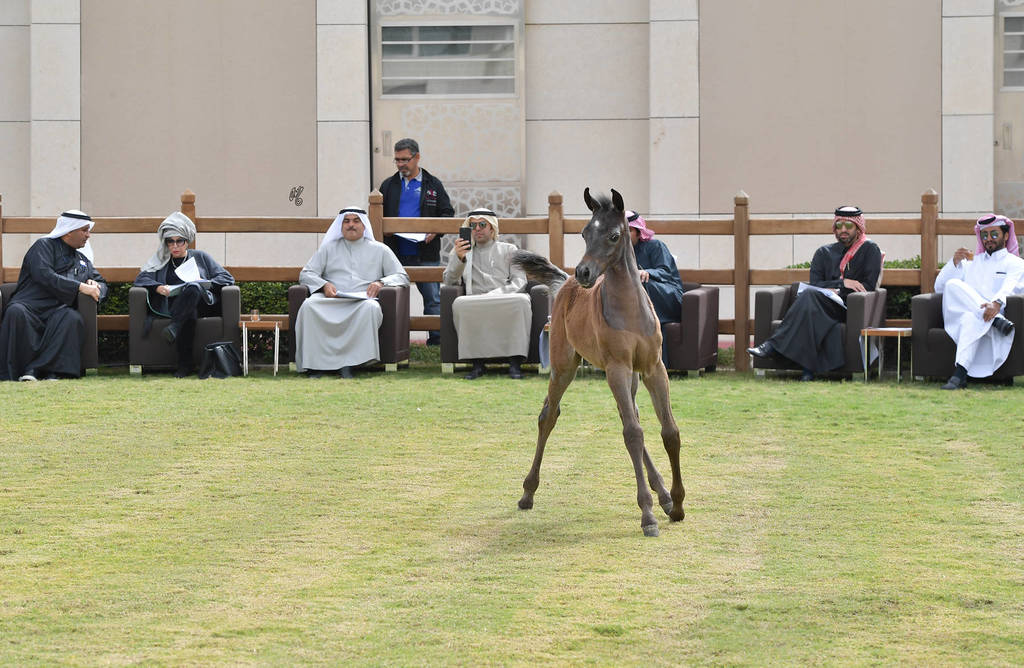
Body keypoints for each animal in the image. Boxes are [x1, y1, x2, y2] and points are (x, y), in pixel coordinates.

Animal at [512, 188, 685, 537]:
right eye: (583, 232)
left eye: (614, 235)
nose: (584, 273)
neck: (630, 313)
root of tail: (564, 282)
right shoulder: (616, 368)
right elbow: (632, 434)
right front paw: (647, 515)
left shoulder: (653, 368)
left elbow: (668, 432)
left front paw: (677, 504)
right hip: (564, 367)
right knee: (548, 416)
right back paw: (527, 493)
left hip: (630, 378)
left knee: (629, 416)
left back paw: (663, 495)